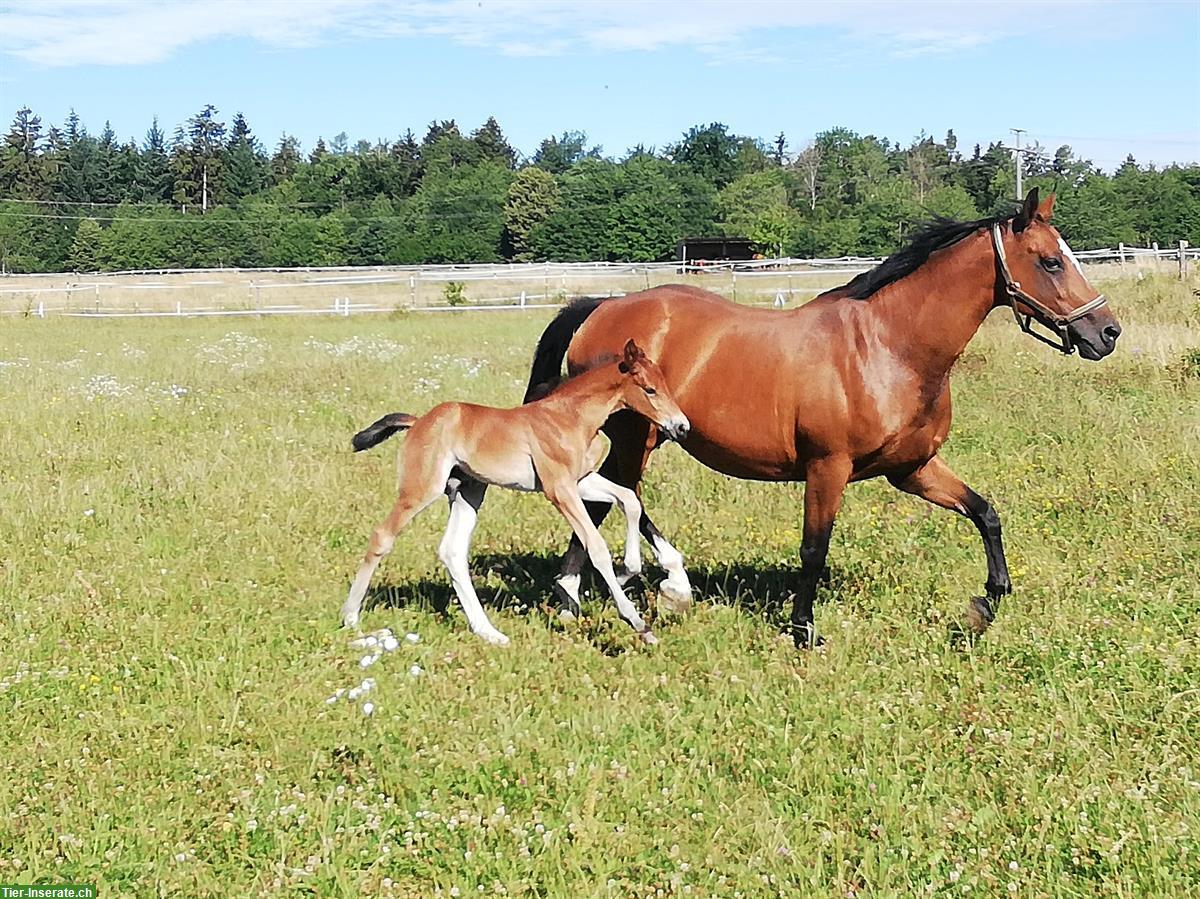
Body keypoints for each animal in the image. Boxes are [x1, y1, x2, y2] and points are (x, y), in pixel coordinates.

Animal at [343, 338, 691, 643]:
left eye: (665, 384)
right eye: (649, 389)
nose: (682, 426)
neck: (568, 417)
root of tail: (417, 422)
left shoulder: (581, 481)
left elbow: (629, 500)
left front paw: (628, 570)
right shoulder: (559, 489)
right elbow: (597, 546)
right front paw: (637, 622)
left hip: (469, 491)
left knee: (453, 551)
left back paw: (489, 633)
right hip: (422, 488)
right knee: (382, 536)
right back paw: (351, 617)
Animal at [528, 193, 1123, 648]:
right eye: (1051, 261)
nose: (1107, 332)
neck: (889, 349)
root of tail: (604, 306)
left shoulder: (913, 470)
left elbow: (986, 514)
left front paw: (988, 601)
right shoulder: (827, 468)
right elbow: (814, 549)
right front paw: (803, 630)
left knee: (603, 502)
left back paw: (571, 597)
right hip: (639, 437)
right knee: (615, 499)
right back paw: (657, 586)